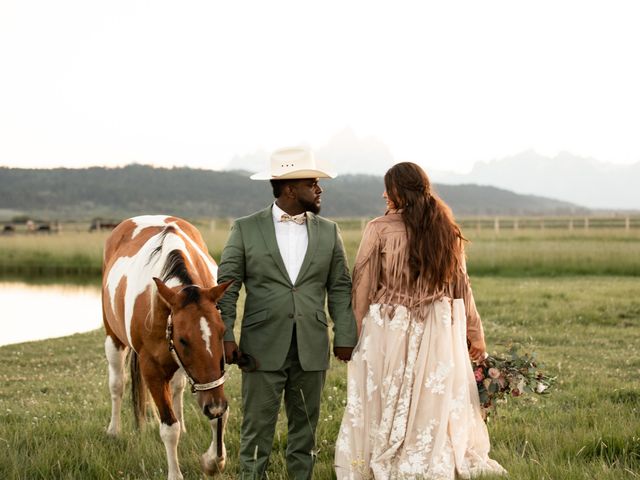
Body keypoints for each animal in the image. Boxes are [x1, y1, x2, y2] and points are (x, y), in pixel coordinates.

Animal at [104, 216, 234, 478]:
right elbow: (168, 428)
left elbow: (220, 415)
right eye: (183, 339)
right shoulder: (152, 369)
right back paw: (113, 430)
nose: (213, 406)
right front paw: (175, 473)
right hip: (113, 340)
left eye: (222, 331)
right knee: (117, 384)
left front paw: (213, 460)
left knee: (177, 388)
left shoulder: (213, 374)